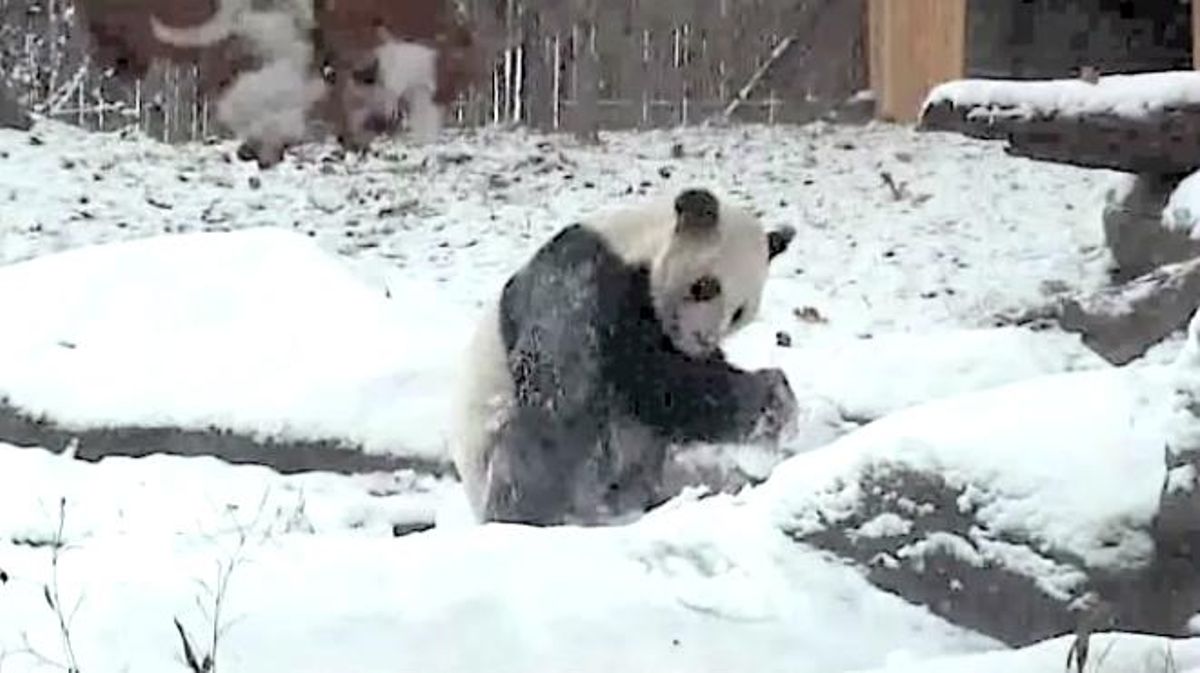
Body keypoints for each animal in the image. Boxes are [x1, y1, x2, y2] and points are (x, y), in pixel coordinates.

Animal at [453, 184, 801, 525]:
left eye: (739, 313)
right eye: (705, 286)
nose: (702, 339)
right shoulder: (580, 279)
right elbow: (604, 383)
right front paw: (772, 398)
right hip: (492, 436)